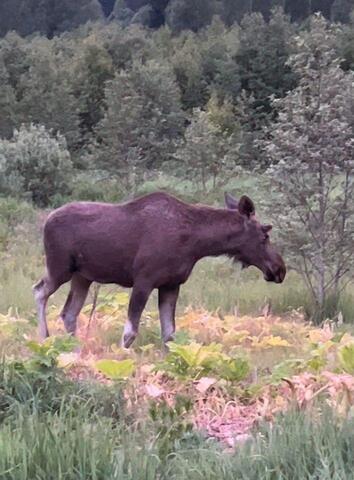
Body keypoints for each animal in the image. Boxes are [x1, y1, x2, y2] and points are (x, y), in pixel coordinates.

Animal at [34, 192, 284, 348]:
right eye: (265, 235)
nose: (279, 269)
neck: (196, 244)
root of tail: (46, 220)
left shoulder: (171, 284)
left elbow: (169, 335)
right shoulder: (143, 281)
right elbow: (130, 333)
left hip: (82, 277)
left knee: (68, 313)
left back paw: (73, 351)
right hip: (59, 268)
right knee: (39, 291)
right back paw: (44, 337)